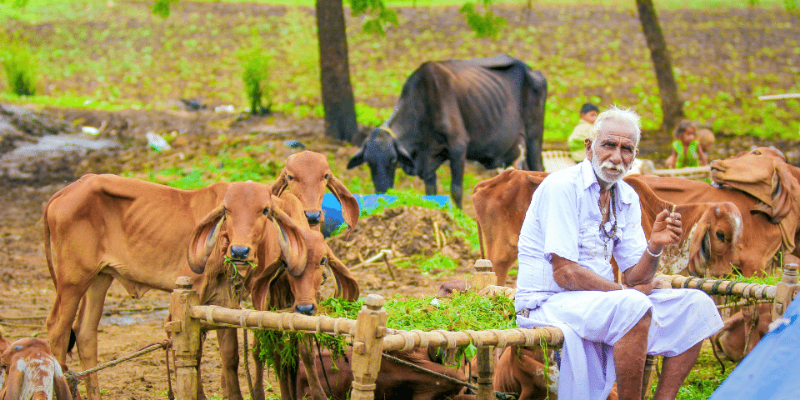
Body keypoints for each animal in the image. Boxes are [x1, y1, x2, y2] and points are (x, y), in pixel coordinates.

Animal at [42, 175, 310, 400]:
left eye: (265, 210)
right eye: (226, 210)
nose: (239, 251)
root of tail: (63, 193)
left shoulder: (223, 302)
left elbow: (230, 358)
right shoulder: (188, 299)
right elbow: (194, 354)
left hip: (99, 278)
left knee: (85, 333)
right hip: (72, 280)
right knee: (57, 330)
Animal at [346, 54, 548, 208]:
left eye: (394, 160)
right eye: (368, 162)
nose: (382, 192)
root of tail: (531, 69)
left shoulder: (458, 147)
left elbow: (456, 190)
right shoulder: (428, 161)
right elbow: (431, 193)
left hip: (534, 136)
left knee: (539, 169)